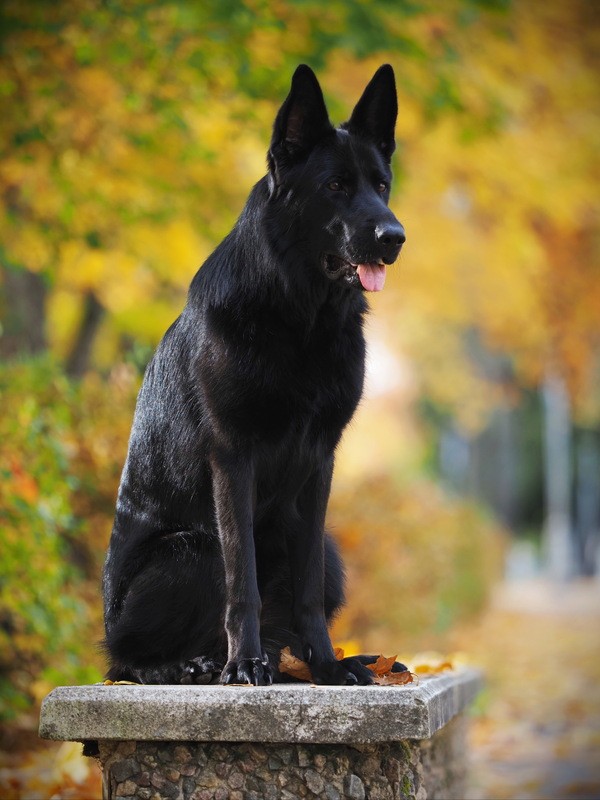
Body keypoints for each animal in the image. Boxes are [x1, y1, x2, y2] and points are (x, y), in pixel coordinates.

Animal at [103, 64, 406, 688]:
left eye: (382, 184)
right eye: (335, 186)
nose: (395, 237)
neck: (301, 320)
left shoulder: (320, 460)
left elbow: (308, 588)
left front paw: (326, 664)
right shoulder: (233, 457)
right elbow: (241, 581)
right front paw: (245, 664)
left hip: (330, 552)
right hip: (193, 551)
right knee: (125, 658)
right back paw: (195, 664)